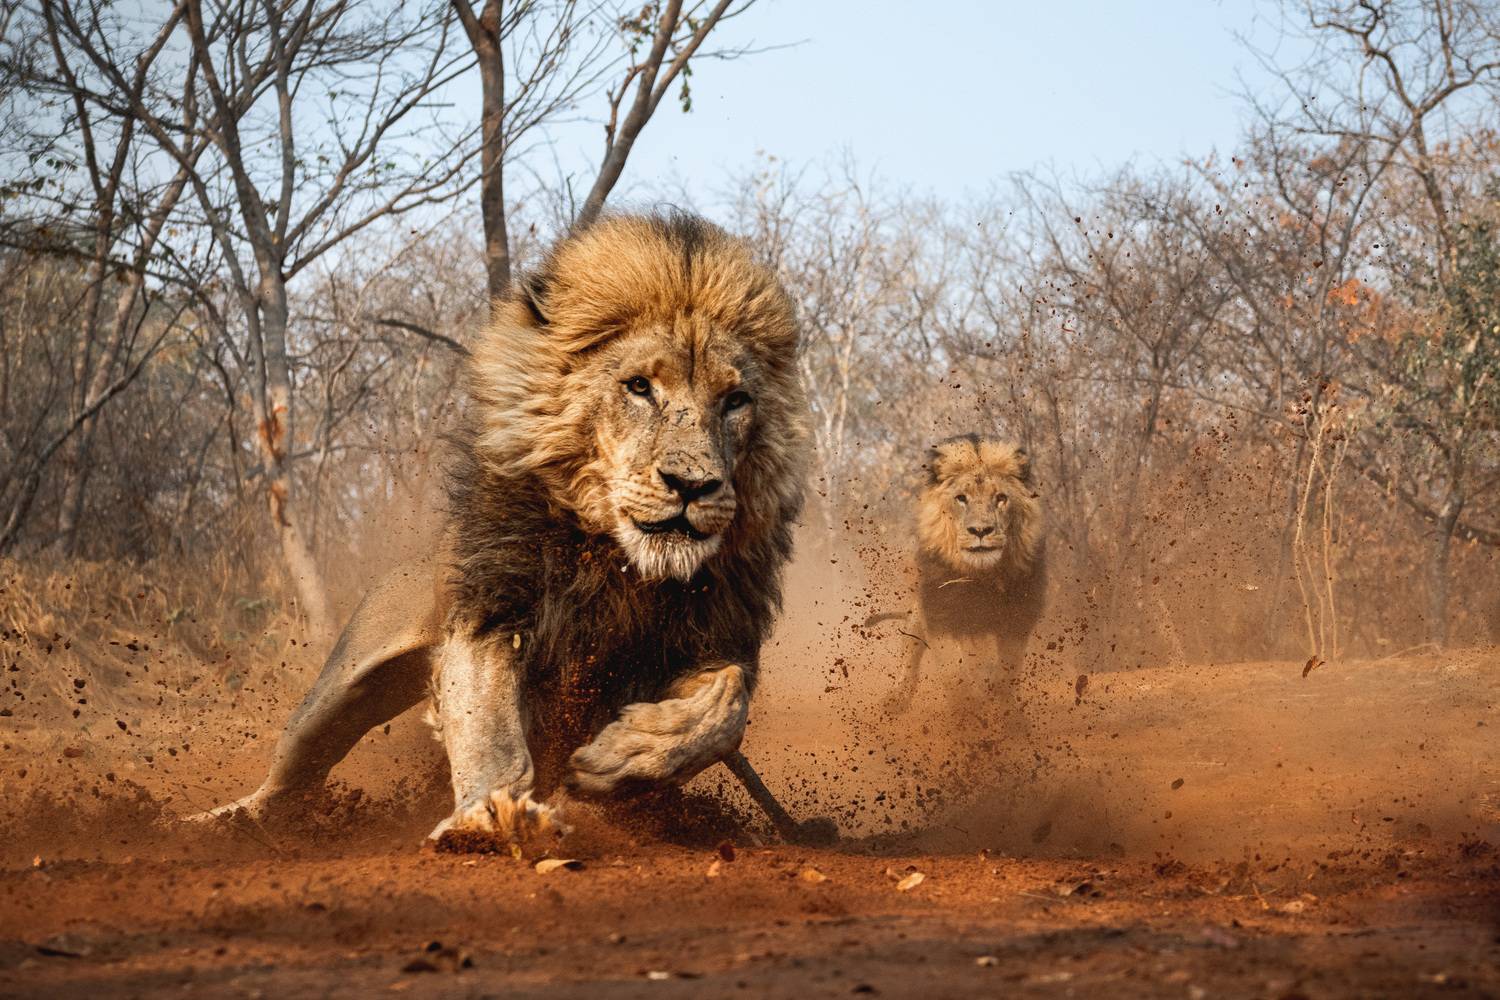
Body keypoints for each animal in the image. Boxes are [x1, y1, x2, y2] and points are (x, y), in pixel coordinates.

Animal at [192, 212, 809, 844]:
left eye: (735, 400)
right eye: (639, 386)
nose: (693, 485)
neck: (622, 562)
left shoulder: (715, 638)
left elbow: (724, 708)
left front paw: (621, 761)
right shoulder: (490, 613)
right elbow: (487, 725)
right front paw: (493, 815)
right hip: (341, 688)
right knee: (287, 778)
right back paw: (211, 824)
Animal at [876, 434, 1046, 721]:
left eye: (1001, 498)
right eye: (961, 499)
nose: (980, 530)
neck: (982, 577)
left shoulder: (1017, 619)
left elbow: (1005, 674)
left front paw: (1007, 718)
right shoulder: (941, 616)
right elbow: (955, 675)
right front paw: (967, 720)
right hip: (918, 618)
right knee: (910, 653)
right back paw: (895, 700)